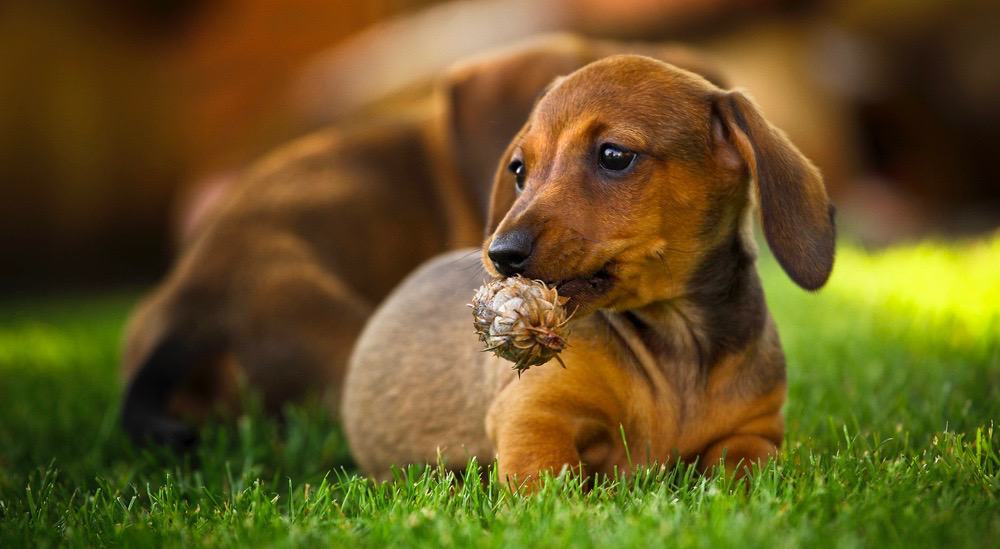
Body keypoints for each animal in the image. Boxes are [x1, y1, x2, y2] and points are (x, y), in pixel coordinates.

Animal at [344, 54, 836, 484]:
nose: (500, 254)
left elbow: (743, 473)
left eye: (614, 155)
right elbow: (547, 484)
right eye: (519, 170)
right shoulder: (531, 413)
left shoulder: (755, 431)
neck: (678, 342)